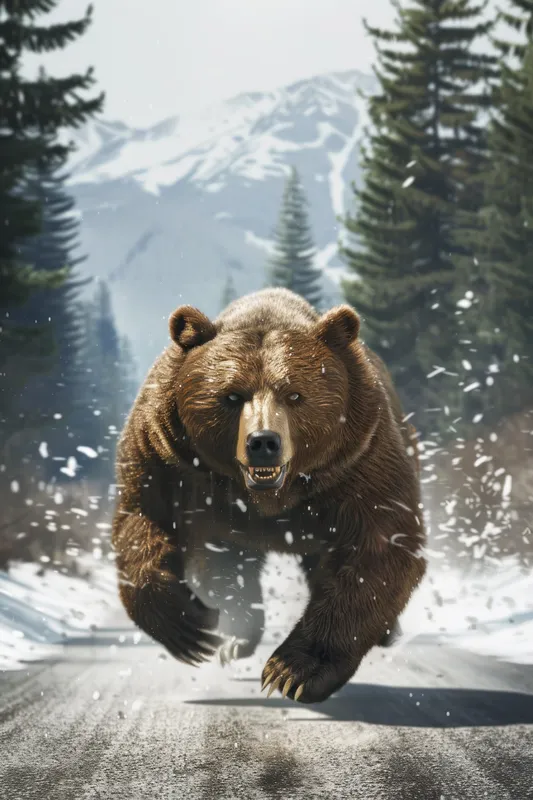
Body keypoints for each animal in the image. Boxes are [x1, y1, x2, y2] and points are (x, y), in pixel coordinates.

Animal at [111, 287, 426, 704]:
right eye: (231, 395)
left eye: (295, 394)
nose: (263, 442)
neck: (272, 495)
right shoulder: (166, 454)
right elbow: (143, 518)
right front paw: (191, 628)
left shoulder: (360, 458)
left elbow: (380, 546)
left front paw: (293, 670)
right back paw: (234, 637)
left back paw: (387, 633)